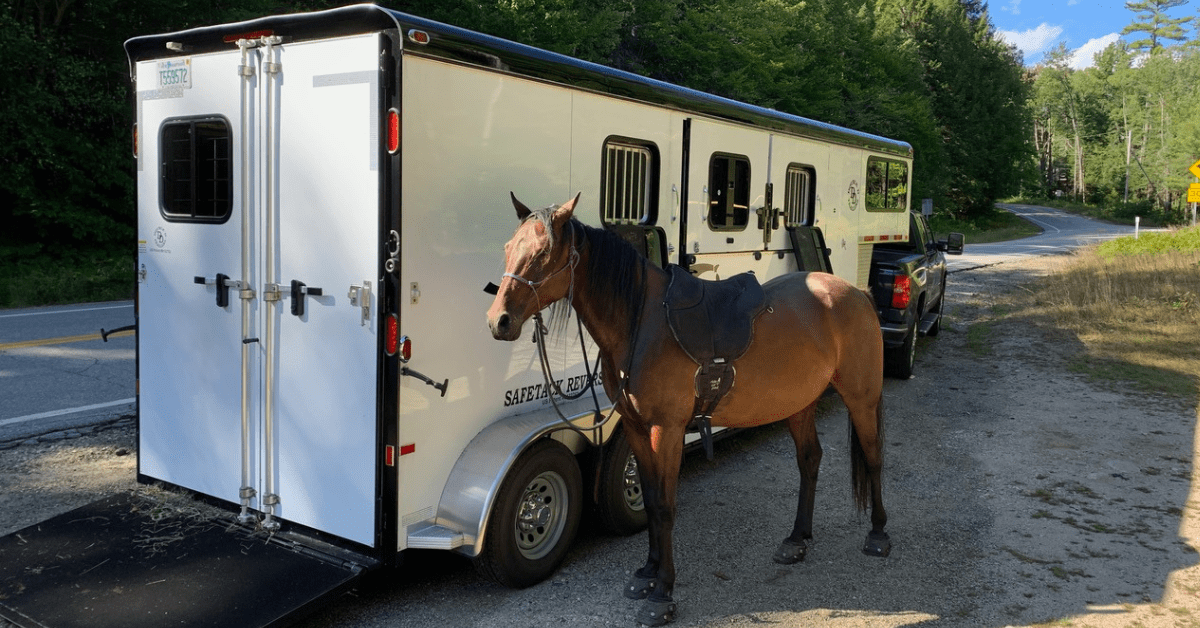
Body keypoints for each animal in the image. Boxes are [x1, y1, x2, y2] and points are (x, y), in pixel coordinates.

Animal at [486, 193, 890, 626]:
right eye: (508, 248)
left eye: (543, 253)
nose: (498, 321)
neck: (641, 323)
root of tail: (855, 293)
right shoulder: (636, 427)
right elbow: (649, 498)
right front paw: (646, 573)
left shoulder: (667, 429)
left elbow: (665, 507)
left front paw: (662, 593)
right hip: (799, 402)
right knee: (810, 460)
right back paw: (797, 540)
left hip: (861, 398)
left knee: (873, 456)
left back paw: (878, 534)